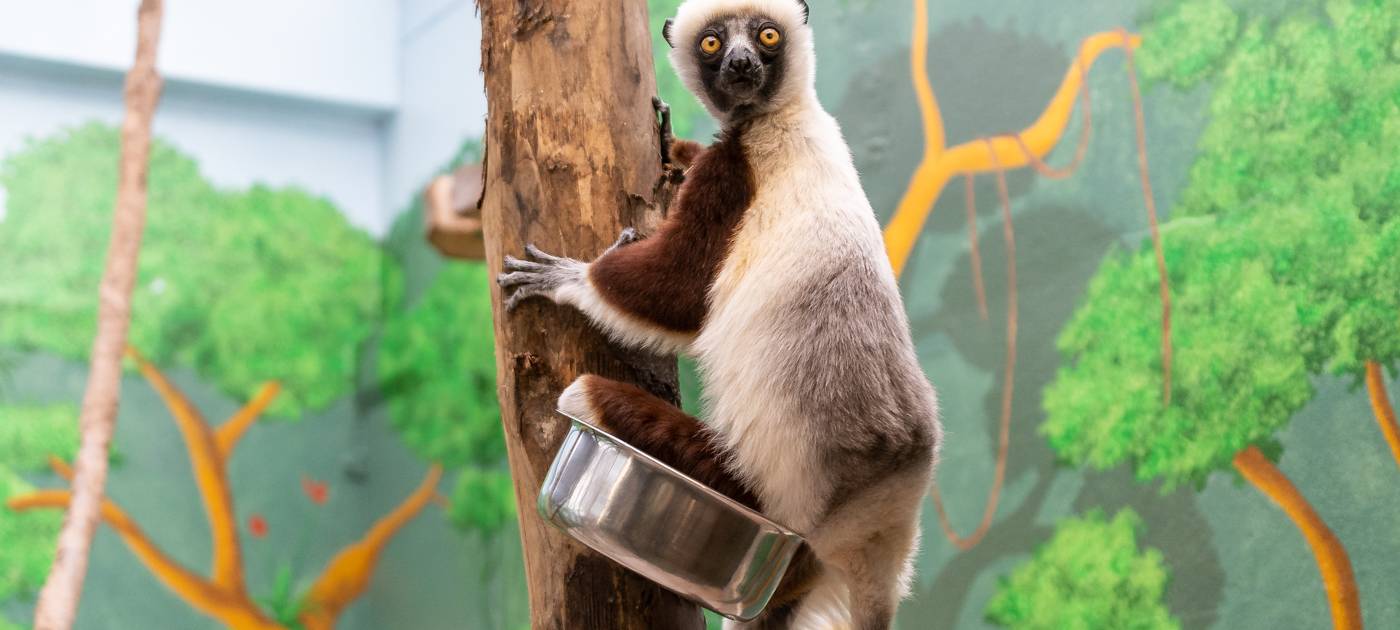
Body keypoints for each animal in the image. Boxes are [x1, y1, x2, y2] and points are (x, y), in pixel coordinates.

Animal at [497, 0, 940, 628]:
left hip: (744, 482)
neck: (781, 114)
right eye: (712, 43)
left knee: (585, 394)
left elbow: (681, 293)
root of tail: (875, 518)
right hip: (800, 559)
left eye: (766, 35)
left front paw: (566, 279)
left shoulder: (739, 169)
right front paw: (670, 146)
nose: (740, 63)